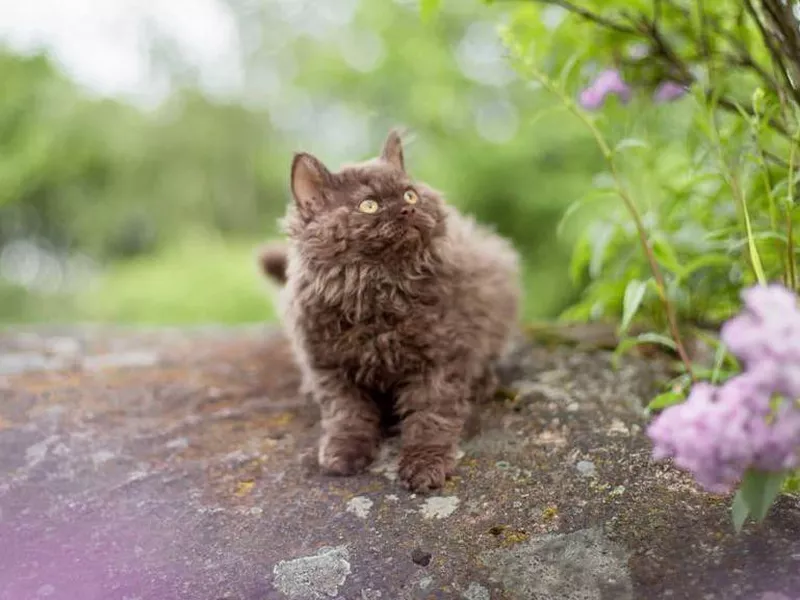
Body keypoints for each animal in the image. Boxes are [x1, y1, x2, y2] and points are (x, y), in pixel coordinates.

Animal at [260, 130, 520, 492]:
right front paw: (343, 452)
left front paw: (425, 465)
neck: (378, 292)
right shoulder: (328, 366)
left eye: (410, 195)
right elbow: (347, 414)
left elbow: (430, 416)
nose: (407, 209)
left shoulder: (439, 359)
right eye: (369, 205)